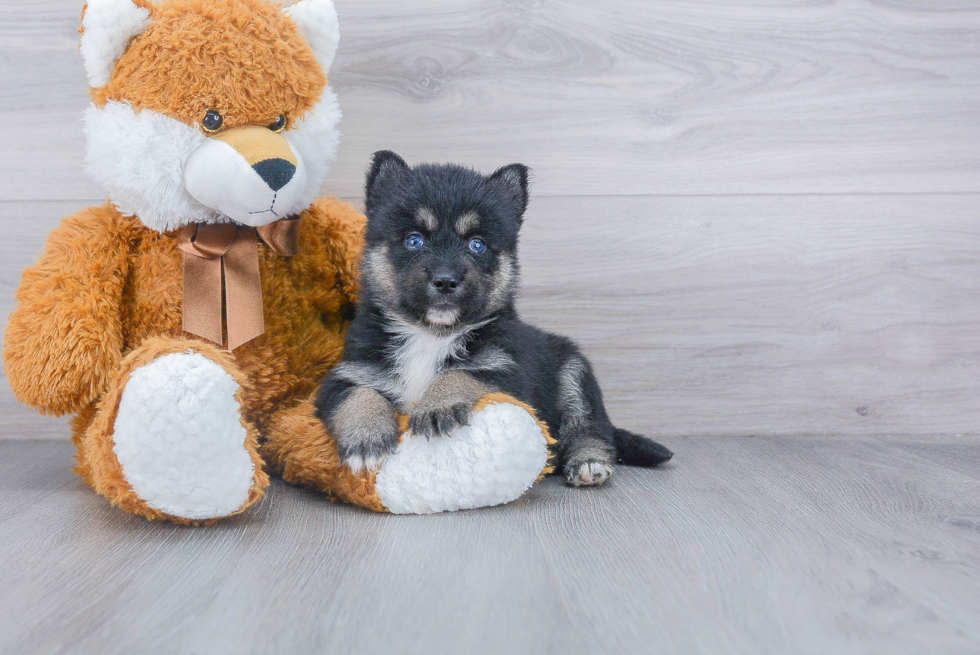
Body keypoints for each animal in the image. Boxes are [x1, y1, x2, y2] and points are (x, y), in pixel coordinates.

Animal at [316, 151, 672, 484]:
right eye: (413, 240)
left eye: (477, 245)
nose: (446, 281)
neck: (432, 333)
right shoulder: (345, 375)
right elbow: (358, 395)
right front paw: (367, 438)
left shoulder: (507, 371)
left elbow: (461, 373)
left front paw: (438, 405)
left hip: (574, 371)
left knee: (589, 426)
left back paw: (589, 461)